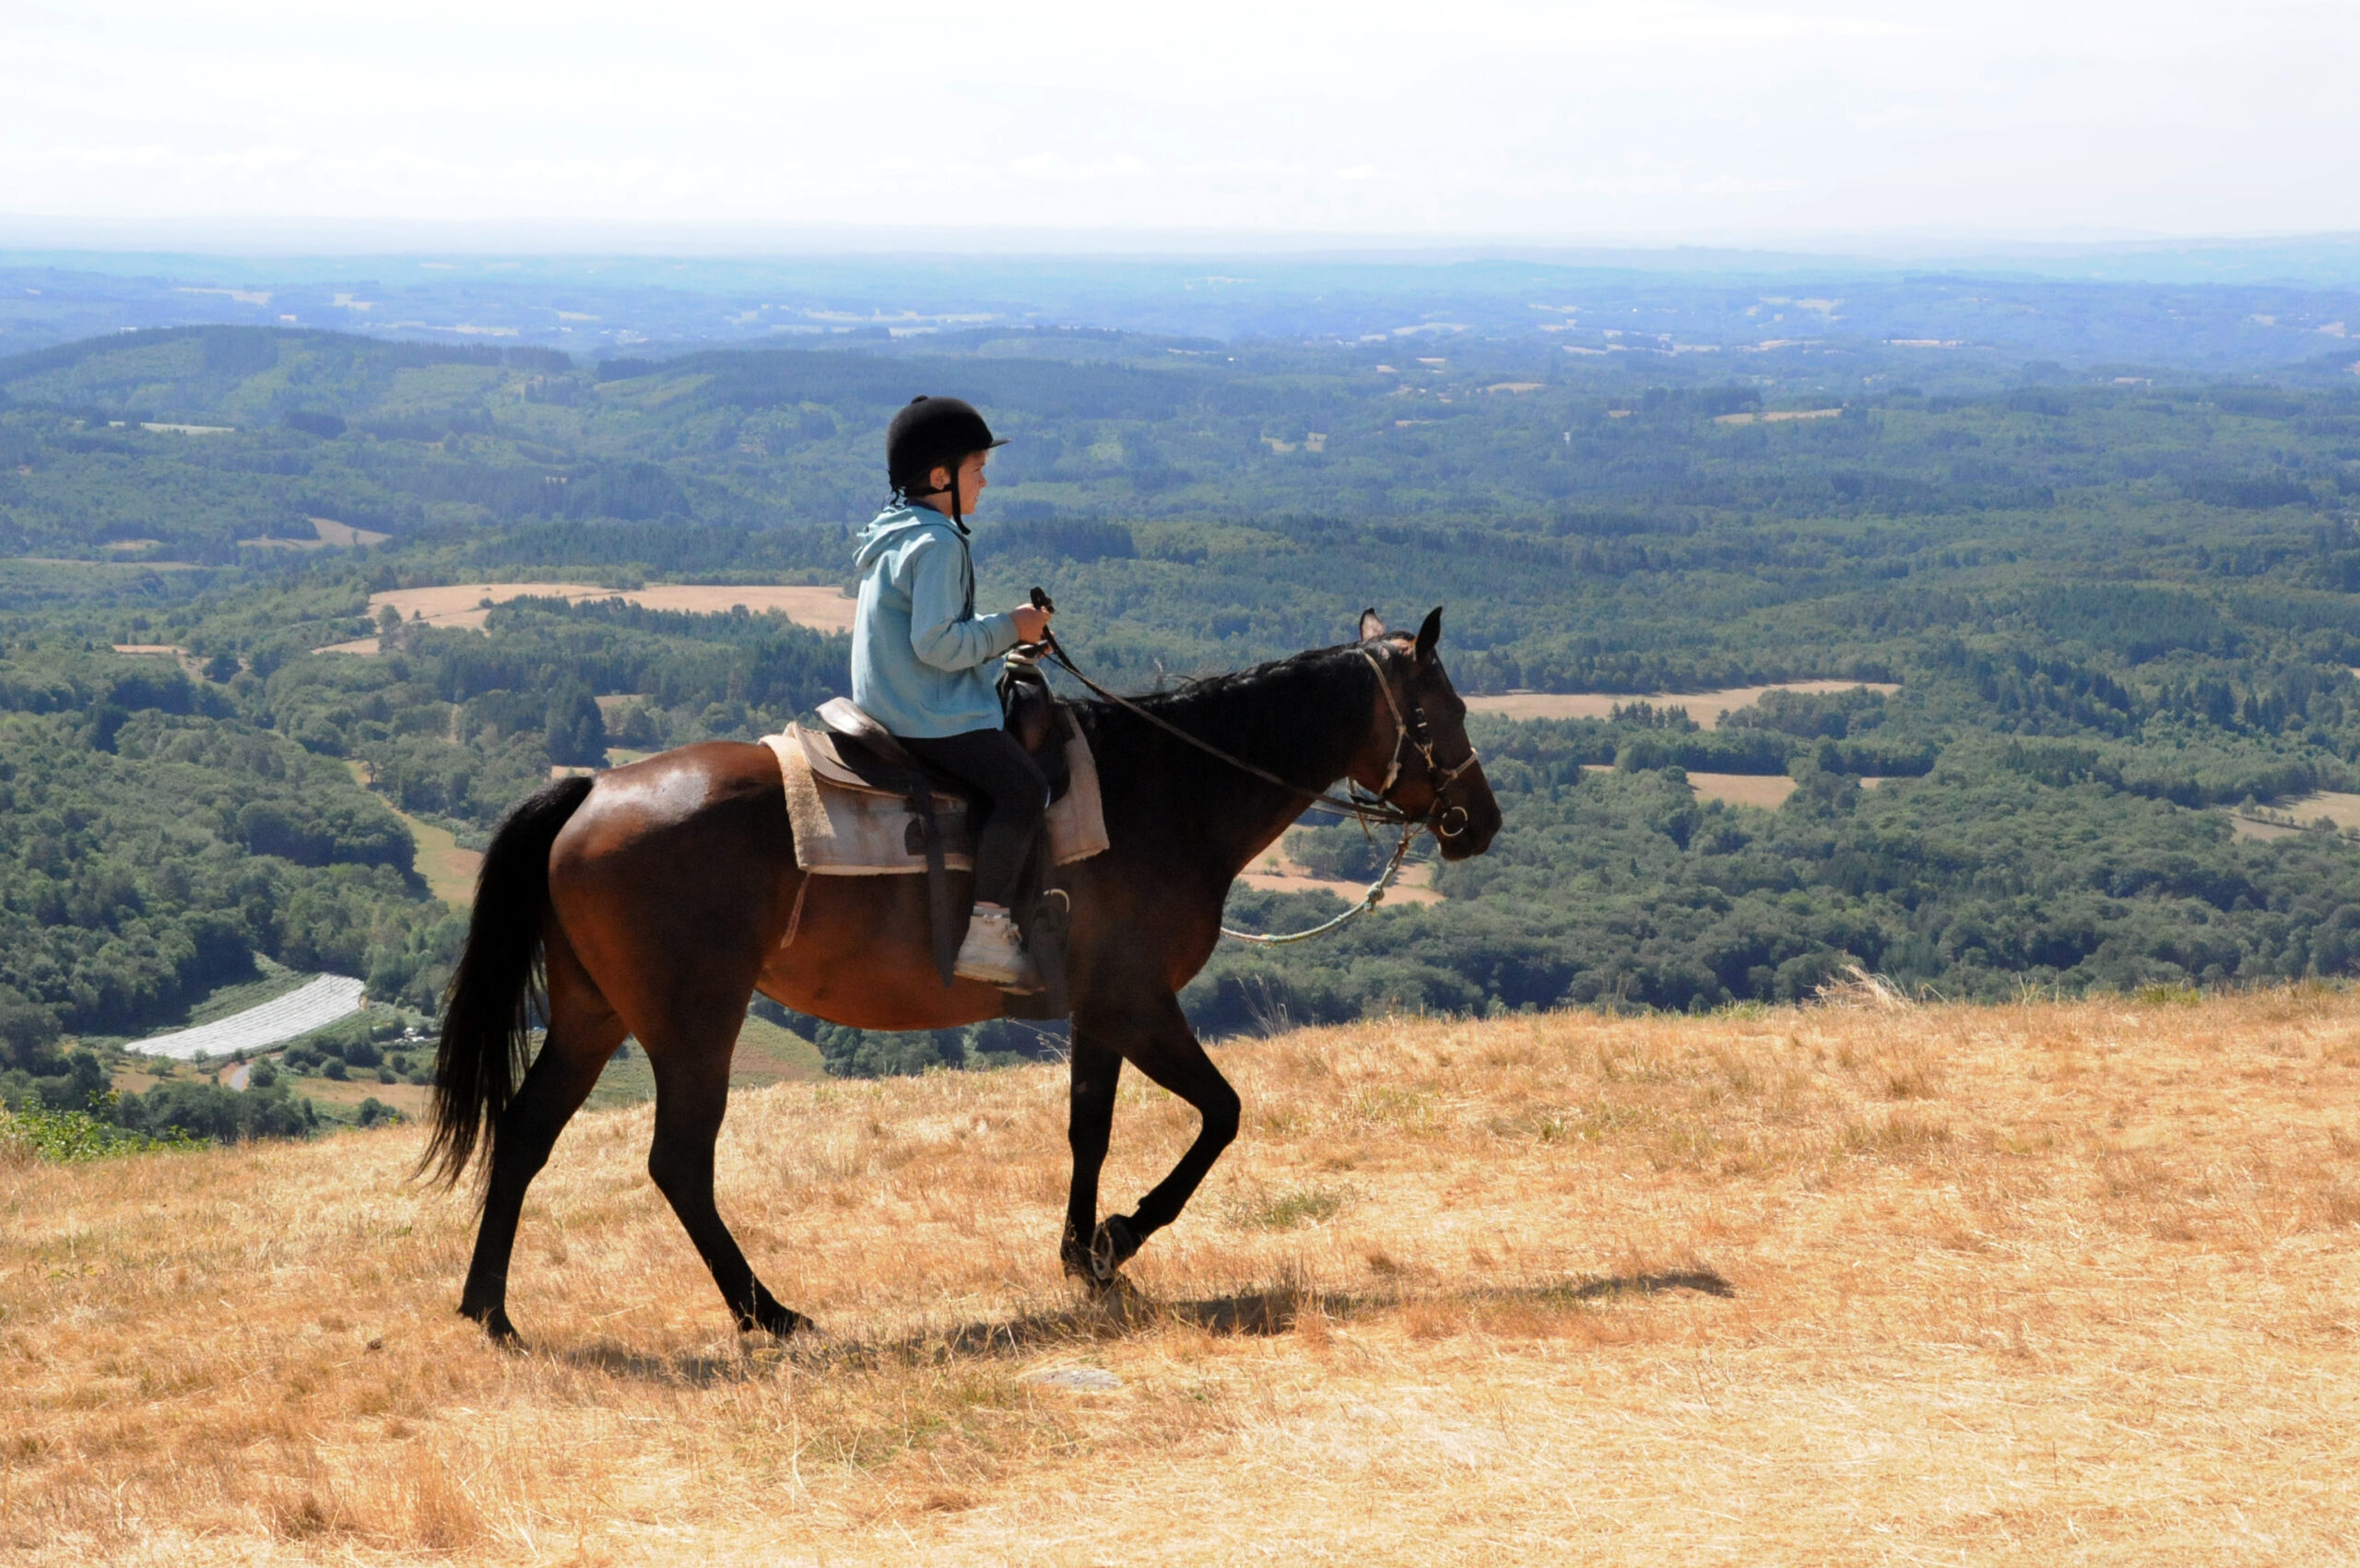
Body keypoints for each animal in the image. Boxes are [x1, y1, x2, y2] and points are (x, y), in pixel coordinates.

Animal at [422, 604, 1491, 1341]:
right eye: (1446, 707)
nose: (1480, 822)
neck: (1167, 791)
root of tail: (591, 790)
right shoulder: (1139, 1002)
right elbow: (1221, 1114)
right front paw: (1120, 1236)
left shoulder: (1097, 1013)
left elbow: (1089, 1130)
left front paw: (1084, 1257)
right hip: (694, 1028)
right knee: (678, 1163)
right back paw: (767, 1312)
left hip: (593, 1017)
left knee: (525, 1137)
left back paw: (490, 1311)